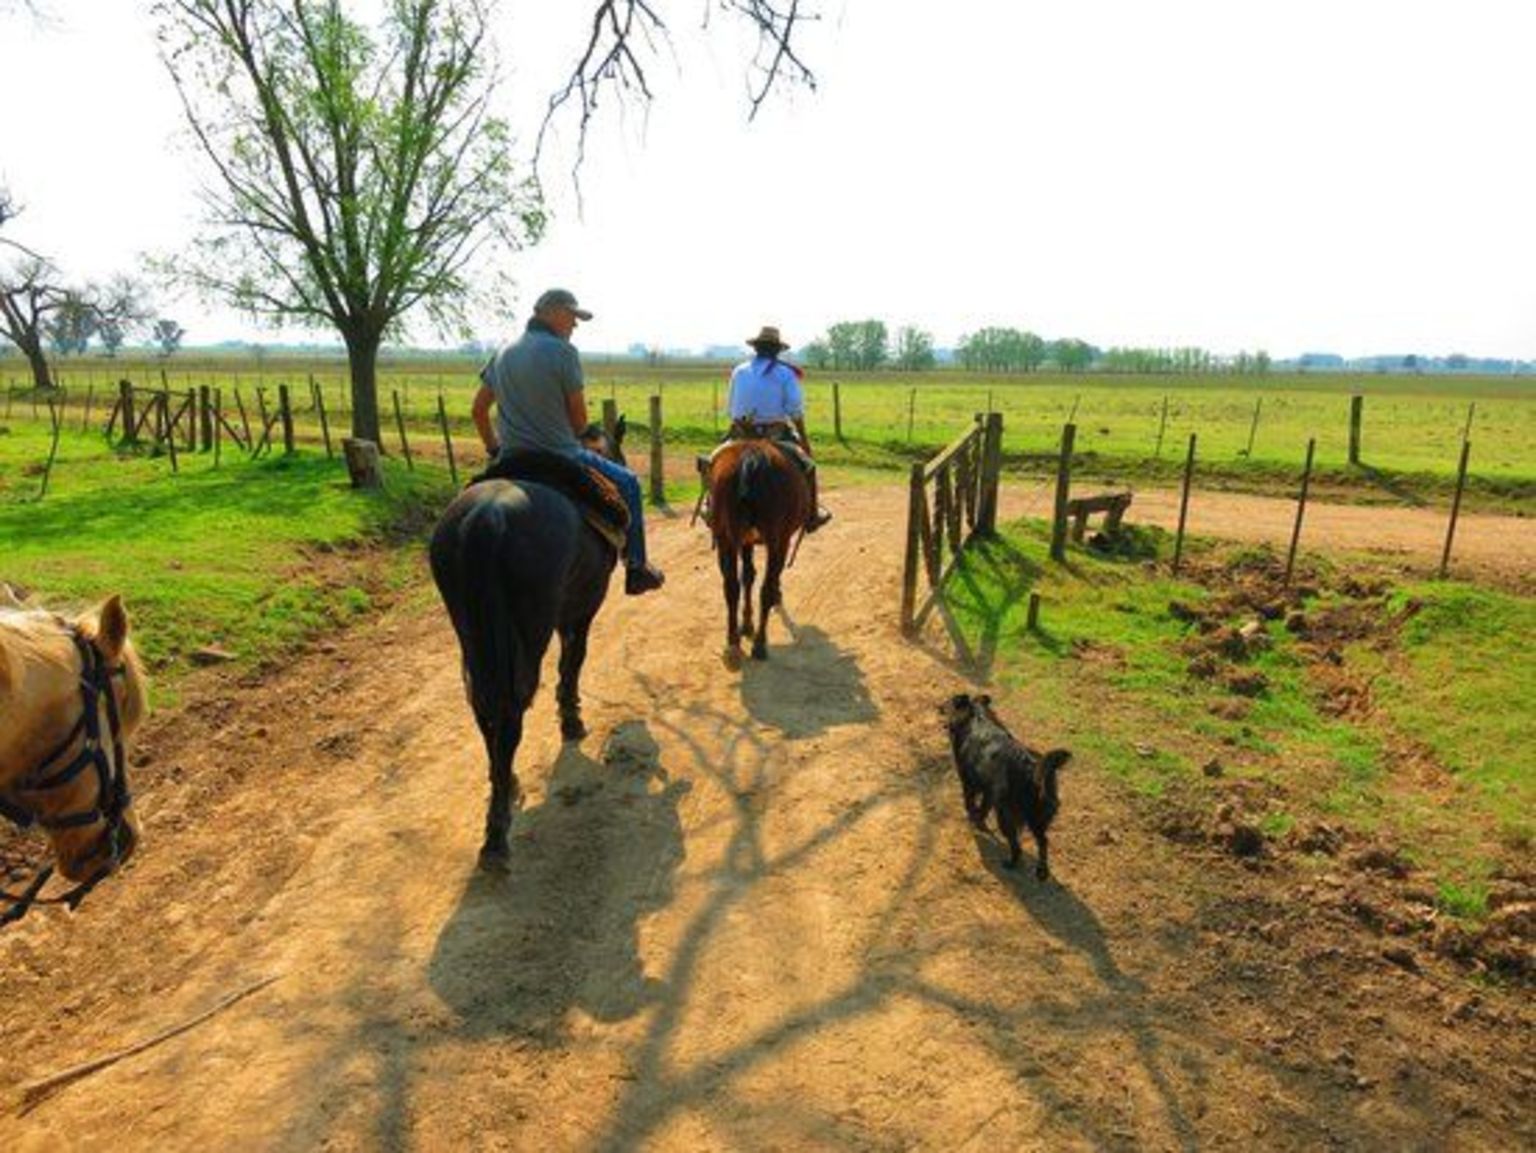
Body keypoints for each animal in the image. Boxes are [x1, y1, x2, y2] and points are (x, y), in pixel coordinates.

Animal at [427, 420, 623, 865]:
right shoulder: (583, 606)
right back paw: (497, 833)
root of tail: (488, 518)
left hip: (472, 632)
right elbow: (574, 658)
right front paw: (571, 718)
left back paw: (504, 784)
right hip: (529, 631)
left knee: (484, 708)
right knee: (511, 710)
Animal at [709, 436, 817, 663]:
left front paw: (746, 624)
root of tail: (751, 458)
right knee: (765, 589)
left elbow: (748, 576)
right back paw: (760, 644)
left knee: (731, 586)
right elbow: (767, 579)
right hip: (777, 540)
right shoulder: (782, 540)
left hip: (726, 538)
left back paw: (733, 642)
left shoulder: (745, 541)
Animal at [933, 693, 1069, 884]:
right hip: (1036, 819)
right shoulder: (989, 792)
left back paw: (1011, 862)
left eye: (948, 702)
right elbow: (983, 809)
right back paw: (1041, 872)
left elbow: (970, 803)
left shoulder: (968, 782)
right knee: (1043, 841)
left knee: (1017, 846)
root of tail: (1032, 768)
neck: (977, 717)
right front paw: (980, 823)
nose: (937, 706)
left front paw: (973, 819)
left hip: (1006, 815)